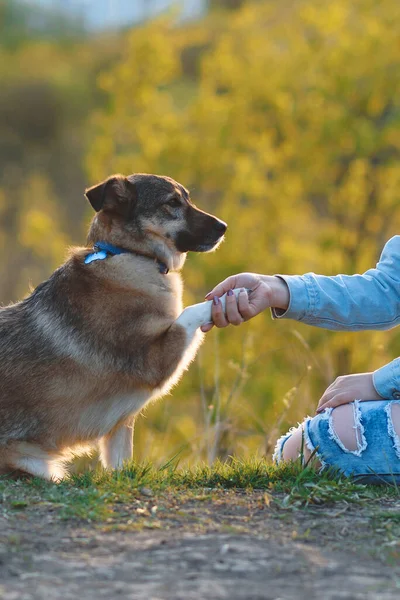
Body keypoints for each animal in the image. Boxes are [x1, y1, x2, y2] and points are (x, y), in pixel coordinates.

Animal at [0, 172, 241, 478]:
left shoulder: (121, 426)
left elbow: (120, 464)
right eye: (172, 203)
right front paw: (237, 293)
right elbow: (191, 311)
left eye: (187, 198)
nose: (224, 227)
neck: (129, 254)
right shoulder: (154, 362)